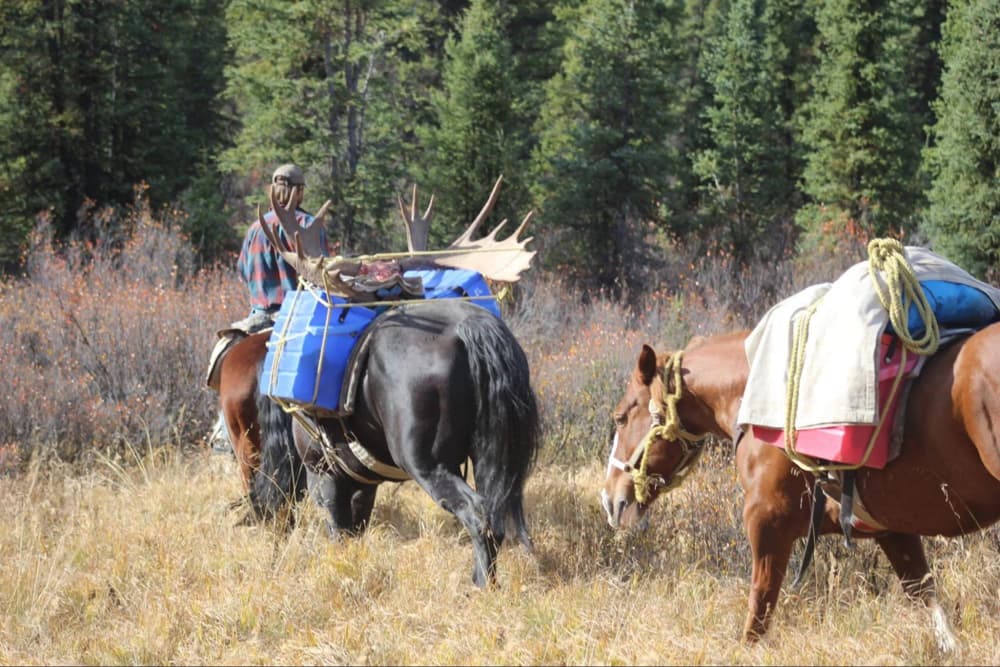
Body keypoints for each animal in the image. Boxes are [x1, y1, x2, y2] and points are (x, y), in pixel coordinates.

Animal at [254, 300, 544, 588]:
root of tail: (469, 327)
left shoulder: (324, 476)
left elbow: (340, 531)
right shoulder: (363, 484)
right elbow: (356, 529)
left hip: (429, 466)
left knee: (477, 514)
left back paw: (482, 586)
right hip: (489, 459)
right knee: (494, 517)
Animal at [600, 326, 1000, 656]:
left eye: (621, 417)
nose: (610, 500)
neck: (758, 396)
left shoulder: (767, 526)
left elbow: (757, 617)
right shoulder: (893, 532)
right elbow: (927, 599)